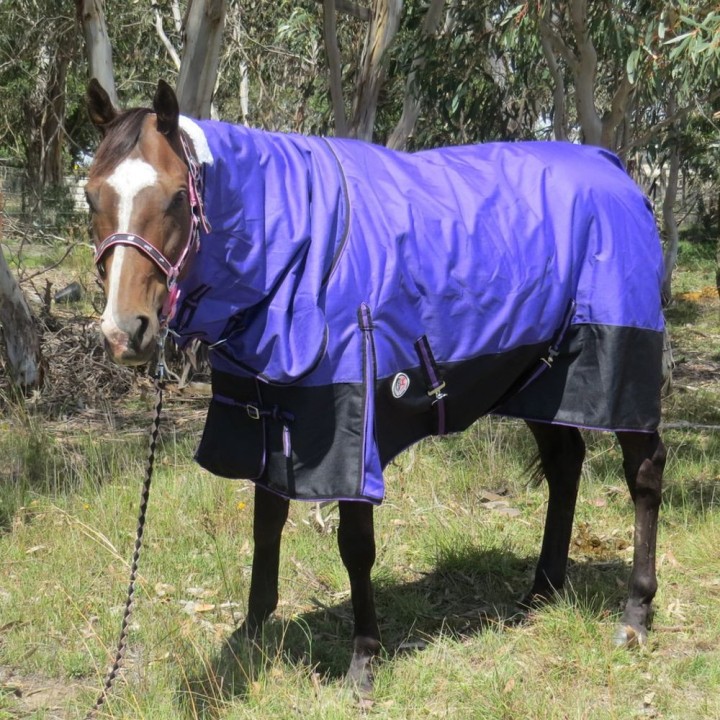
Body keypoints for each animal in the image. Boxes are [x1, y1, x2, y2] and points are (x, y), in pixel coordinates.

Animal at [85, 78, 666, 693]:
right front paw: (252, 634)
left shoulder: (351, 424)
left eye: (176, 196)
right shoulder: (268, 416)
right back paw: (541, 590)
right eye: (91, 196)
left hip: (619, 365)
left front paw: (364, 660)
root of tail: (617, 171)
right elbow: (266, 526)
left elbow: (355, 546)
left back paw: (635, 613)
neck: (302, 250)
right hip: (542, 378)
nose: (124, 332)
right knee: (564, 461)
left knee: (643, 472)